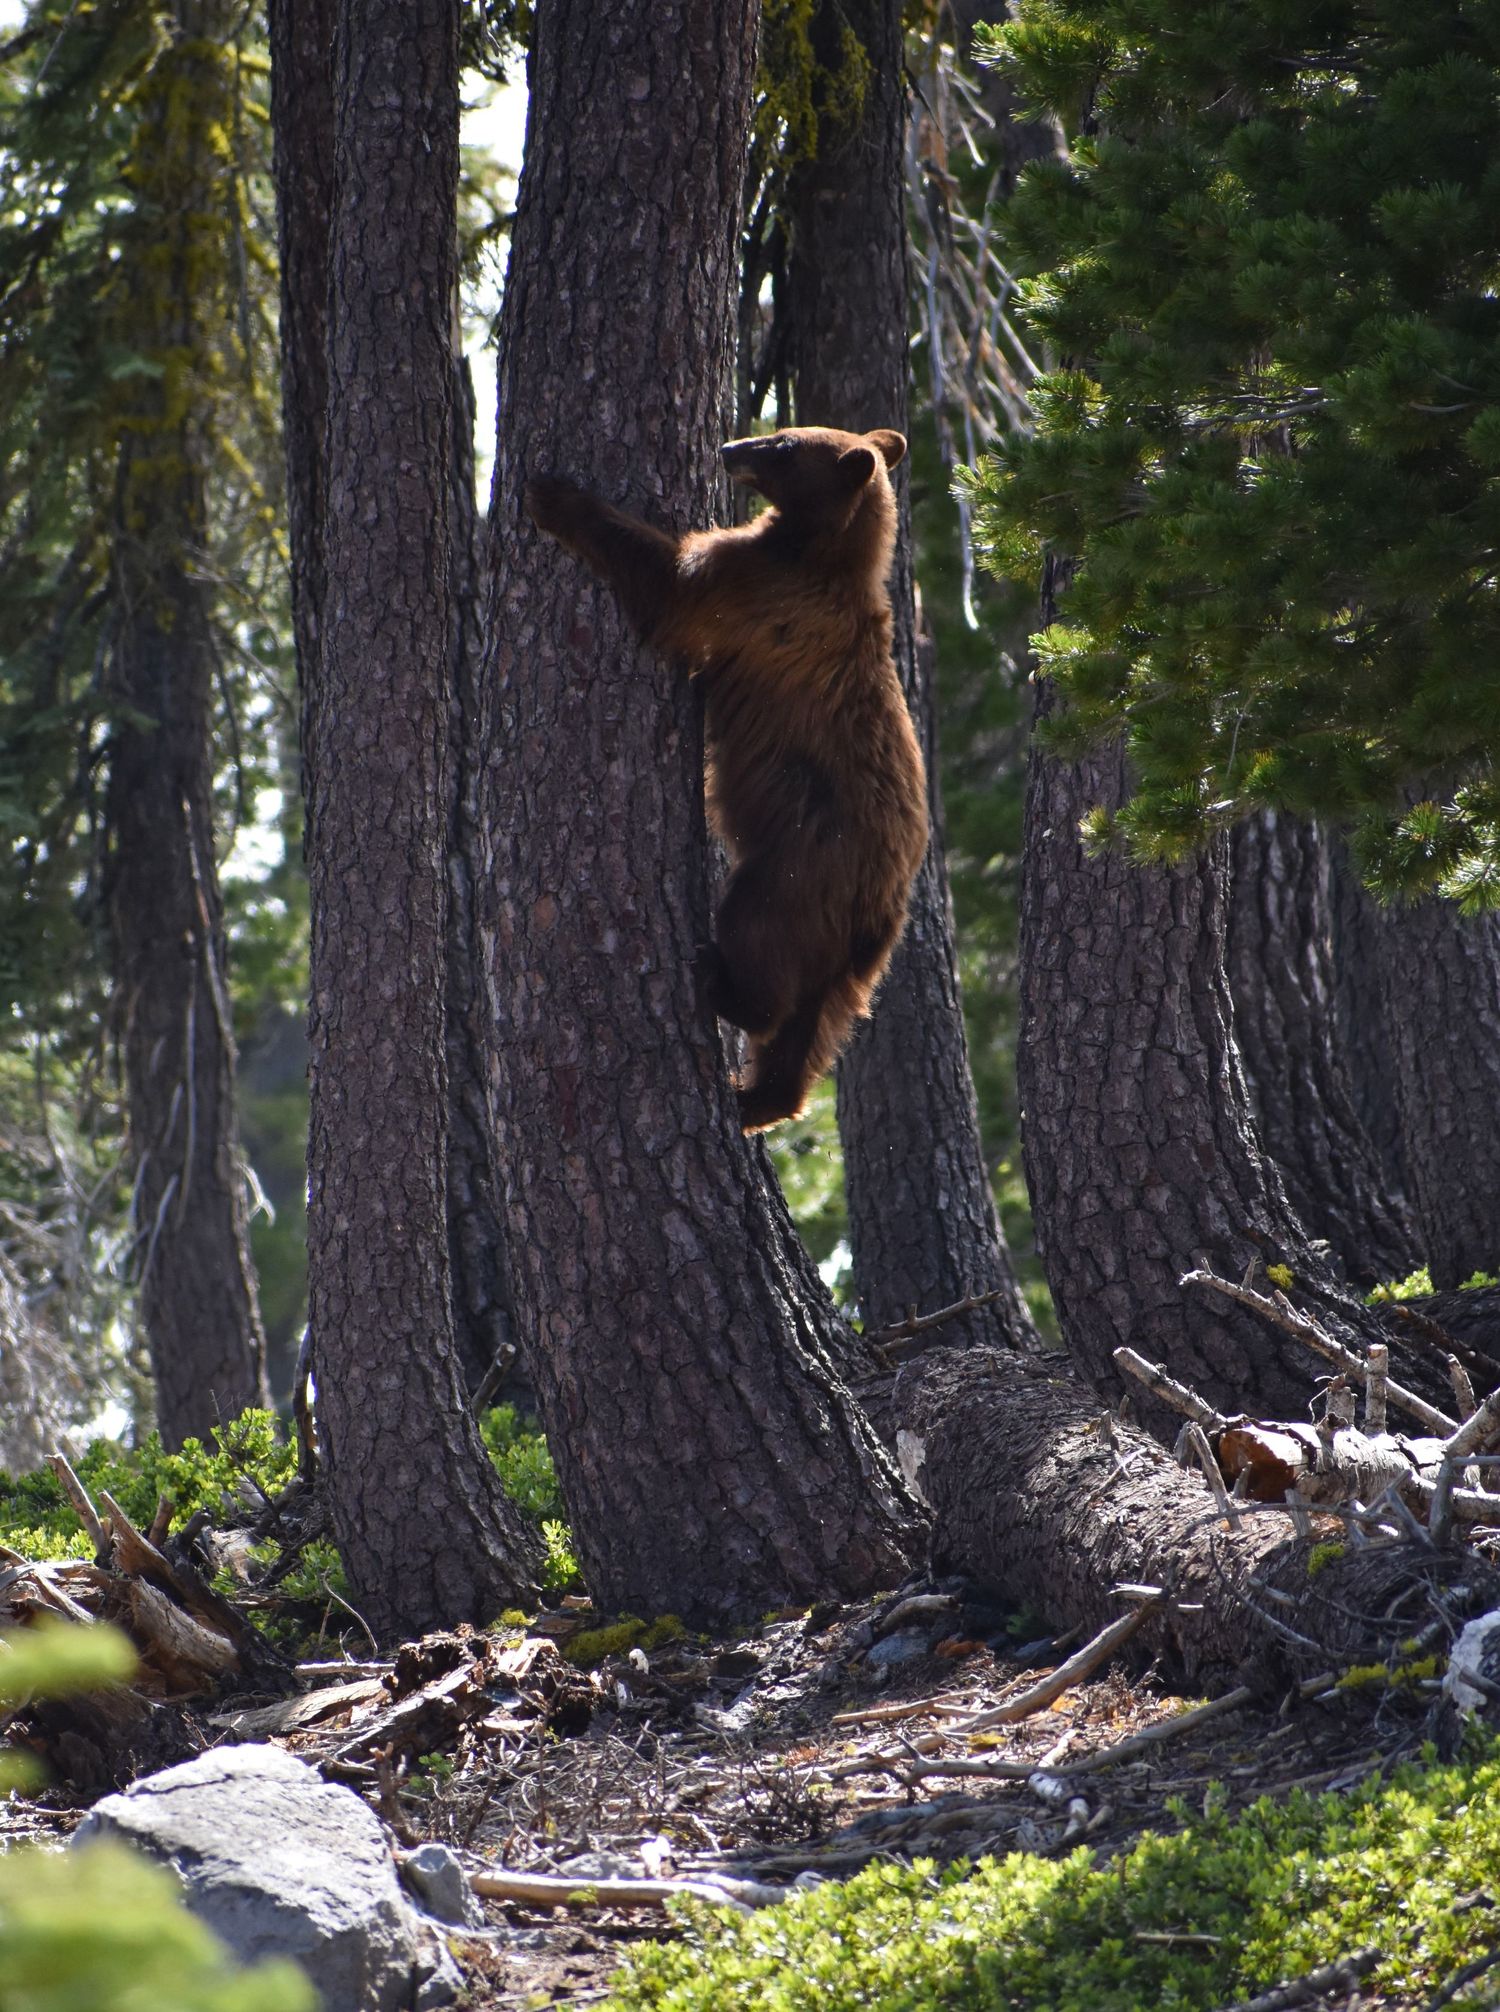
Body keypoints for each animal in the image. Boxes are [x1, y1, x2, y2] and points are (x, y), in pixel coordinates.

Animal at [526, 424, 928, 1132]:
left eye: (786, 442)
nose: (730, 446)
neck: (819, 552)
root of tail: (880, 900)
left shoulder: (757, 588)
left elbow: (675, 586)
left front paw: (557, 497)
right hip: (857, 953)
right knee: (817, 1025)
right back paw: (759, 1098)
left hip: (800, 868)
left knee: (758, 935)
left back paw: (722, 984)